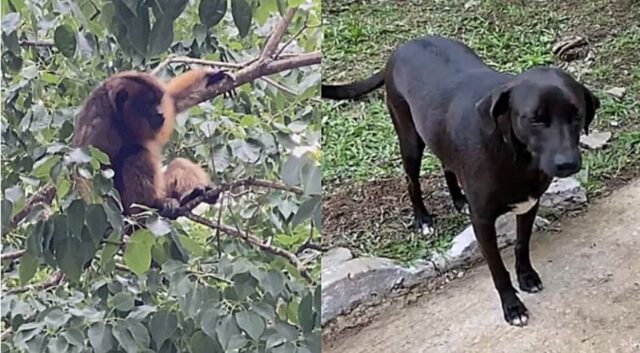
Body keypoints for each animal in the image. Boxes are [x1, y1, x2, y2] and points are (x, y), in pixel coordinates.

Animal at [73, 68, 228, 216]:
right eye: (148, 104)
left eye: (158, 102)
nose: (160, 113)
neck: (120, 120)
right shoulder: (98, 125)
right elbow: (87, 173)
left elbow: (173, 99)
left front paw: (211, 76)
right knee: (136, 153)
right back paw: (154, 204)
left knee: (177, 163)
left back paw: (190, 195)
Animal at [324, 35, 600, 324]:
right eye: (535, 119)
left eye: (577, 115)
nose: (567, 164)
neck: (514, 154)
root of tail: (406, 44)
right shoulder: (483, 223)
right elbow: (497, 269)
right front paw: (512, 306)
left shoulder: (528, 206)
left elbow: (521, 245)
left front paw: (526, 277)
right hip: (409, 139)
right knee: (412, 181)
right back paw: (422, 219)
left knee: (448, 165)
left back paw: (459, 199)